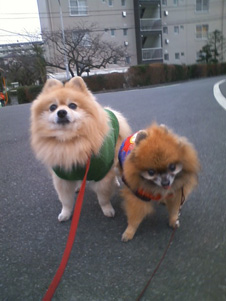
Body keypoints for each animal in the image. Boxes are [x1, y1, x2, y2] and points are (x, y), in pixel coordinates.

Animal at [30, 76, 132, 221]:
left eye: (72, 105)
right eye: (53, 107)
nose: (61, 112)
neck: (70, 141)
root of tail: (110, 111)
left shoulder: (102, 175)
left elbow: (103, 198)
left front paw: (107, 209)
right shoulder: (62, 177)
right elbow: (66, 201)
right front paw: (65, 213)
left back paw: (116, 182)